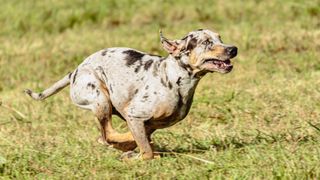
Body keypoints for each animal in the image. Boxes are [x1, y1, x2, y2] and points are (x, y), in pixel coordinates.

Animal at [25, 28, 238, 160]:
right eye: (207, 42)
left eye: (220, 38)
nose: (233, 48)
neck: (174, 78)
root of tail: (75, 71)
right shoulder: (135, 115)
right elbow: (146, 153)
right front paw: (137, 156)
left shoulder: (148, 122)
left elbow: (140, 139)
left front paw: (132, 148)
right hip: (101, 99)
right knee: (107, 133)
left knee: (110, 134)